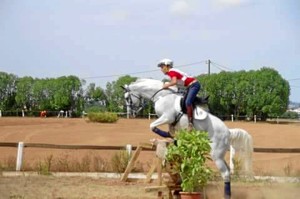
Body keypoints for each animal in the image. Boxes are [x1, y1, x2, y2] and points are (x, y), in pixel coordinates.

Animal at [122, 77, 251, 197]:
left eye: (127, 98)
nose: (130, 114)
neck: (162, 96)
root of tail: (228, 131)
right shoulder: (170, 122)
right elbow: (168, 130)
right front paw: (173, 137)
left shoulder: (167, 117)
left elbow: (152, 126)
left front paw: (169, 135)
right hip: (220, 154)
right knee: (228, 171)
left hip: (216, 155)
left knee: (225, 173)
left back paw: (226, 195)